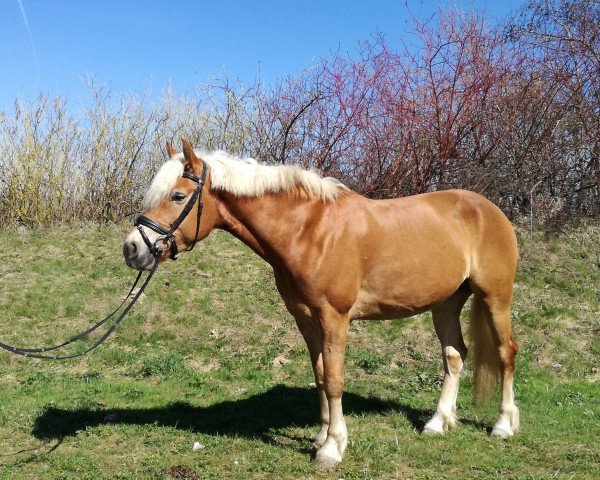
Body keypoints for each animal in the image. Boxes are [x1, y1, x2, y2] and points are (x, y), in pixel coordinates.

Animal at [123, 139, 520, 468]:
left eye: (178, 196)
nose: (133, 248)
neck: (310, 230)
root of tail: (489, 209)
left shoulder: (334, 317)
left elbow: (334, 379)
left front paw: (331, 449)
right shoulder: (305, 318)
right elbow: (319, 376)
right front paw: (323, 436)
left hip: (495, 298)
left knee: (505, 352)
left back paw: (503, 424)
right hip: (446, 303)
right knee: (454, 355)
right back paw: (438, 423)